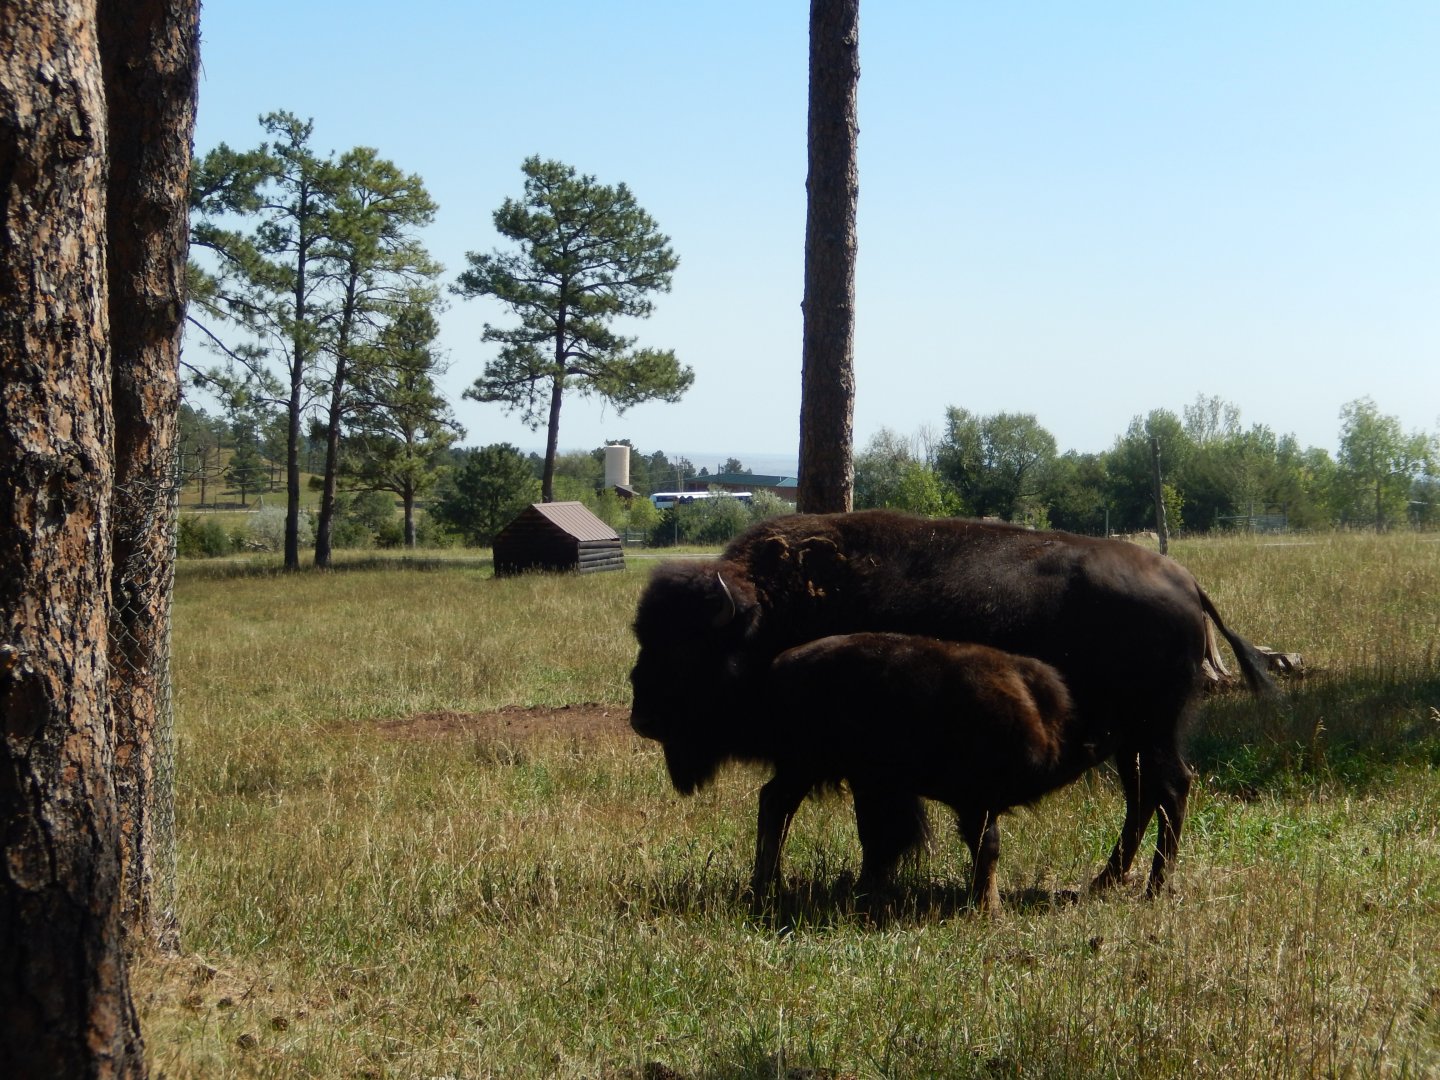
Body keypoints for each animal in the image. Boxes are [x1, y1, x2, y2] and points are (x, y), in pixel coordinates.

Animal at [760, 632, 1091, 912]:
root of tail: (782, 662)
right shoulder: (977, 802)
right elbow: (987, 848)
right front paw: (991, 908)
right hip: (805, 767)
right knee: (776, 804)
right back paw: (768, 886)